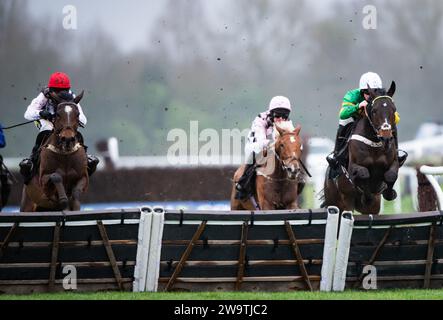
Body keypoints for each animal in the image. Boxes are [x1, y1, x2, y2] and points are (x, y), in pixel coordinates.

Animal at [324, 81, 400, 215]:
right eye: (374, 110)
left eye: (393, 109)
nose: (386, 137)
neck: (374, 144)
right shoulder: (353, 167)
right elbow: (363, 174)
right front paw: (366, 197)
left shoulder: (393, 163)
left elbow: (391, 175)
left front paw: (389, 193)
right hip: (338, 203)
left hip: (373, 207)